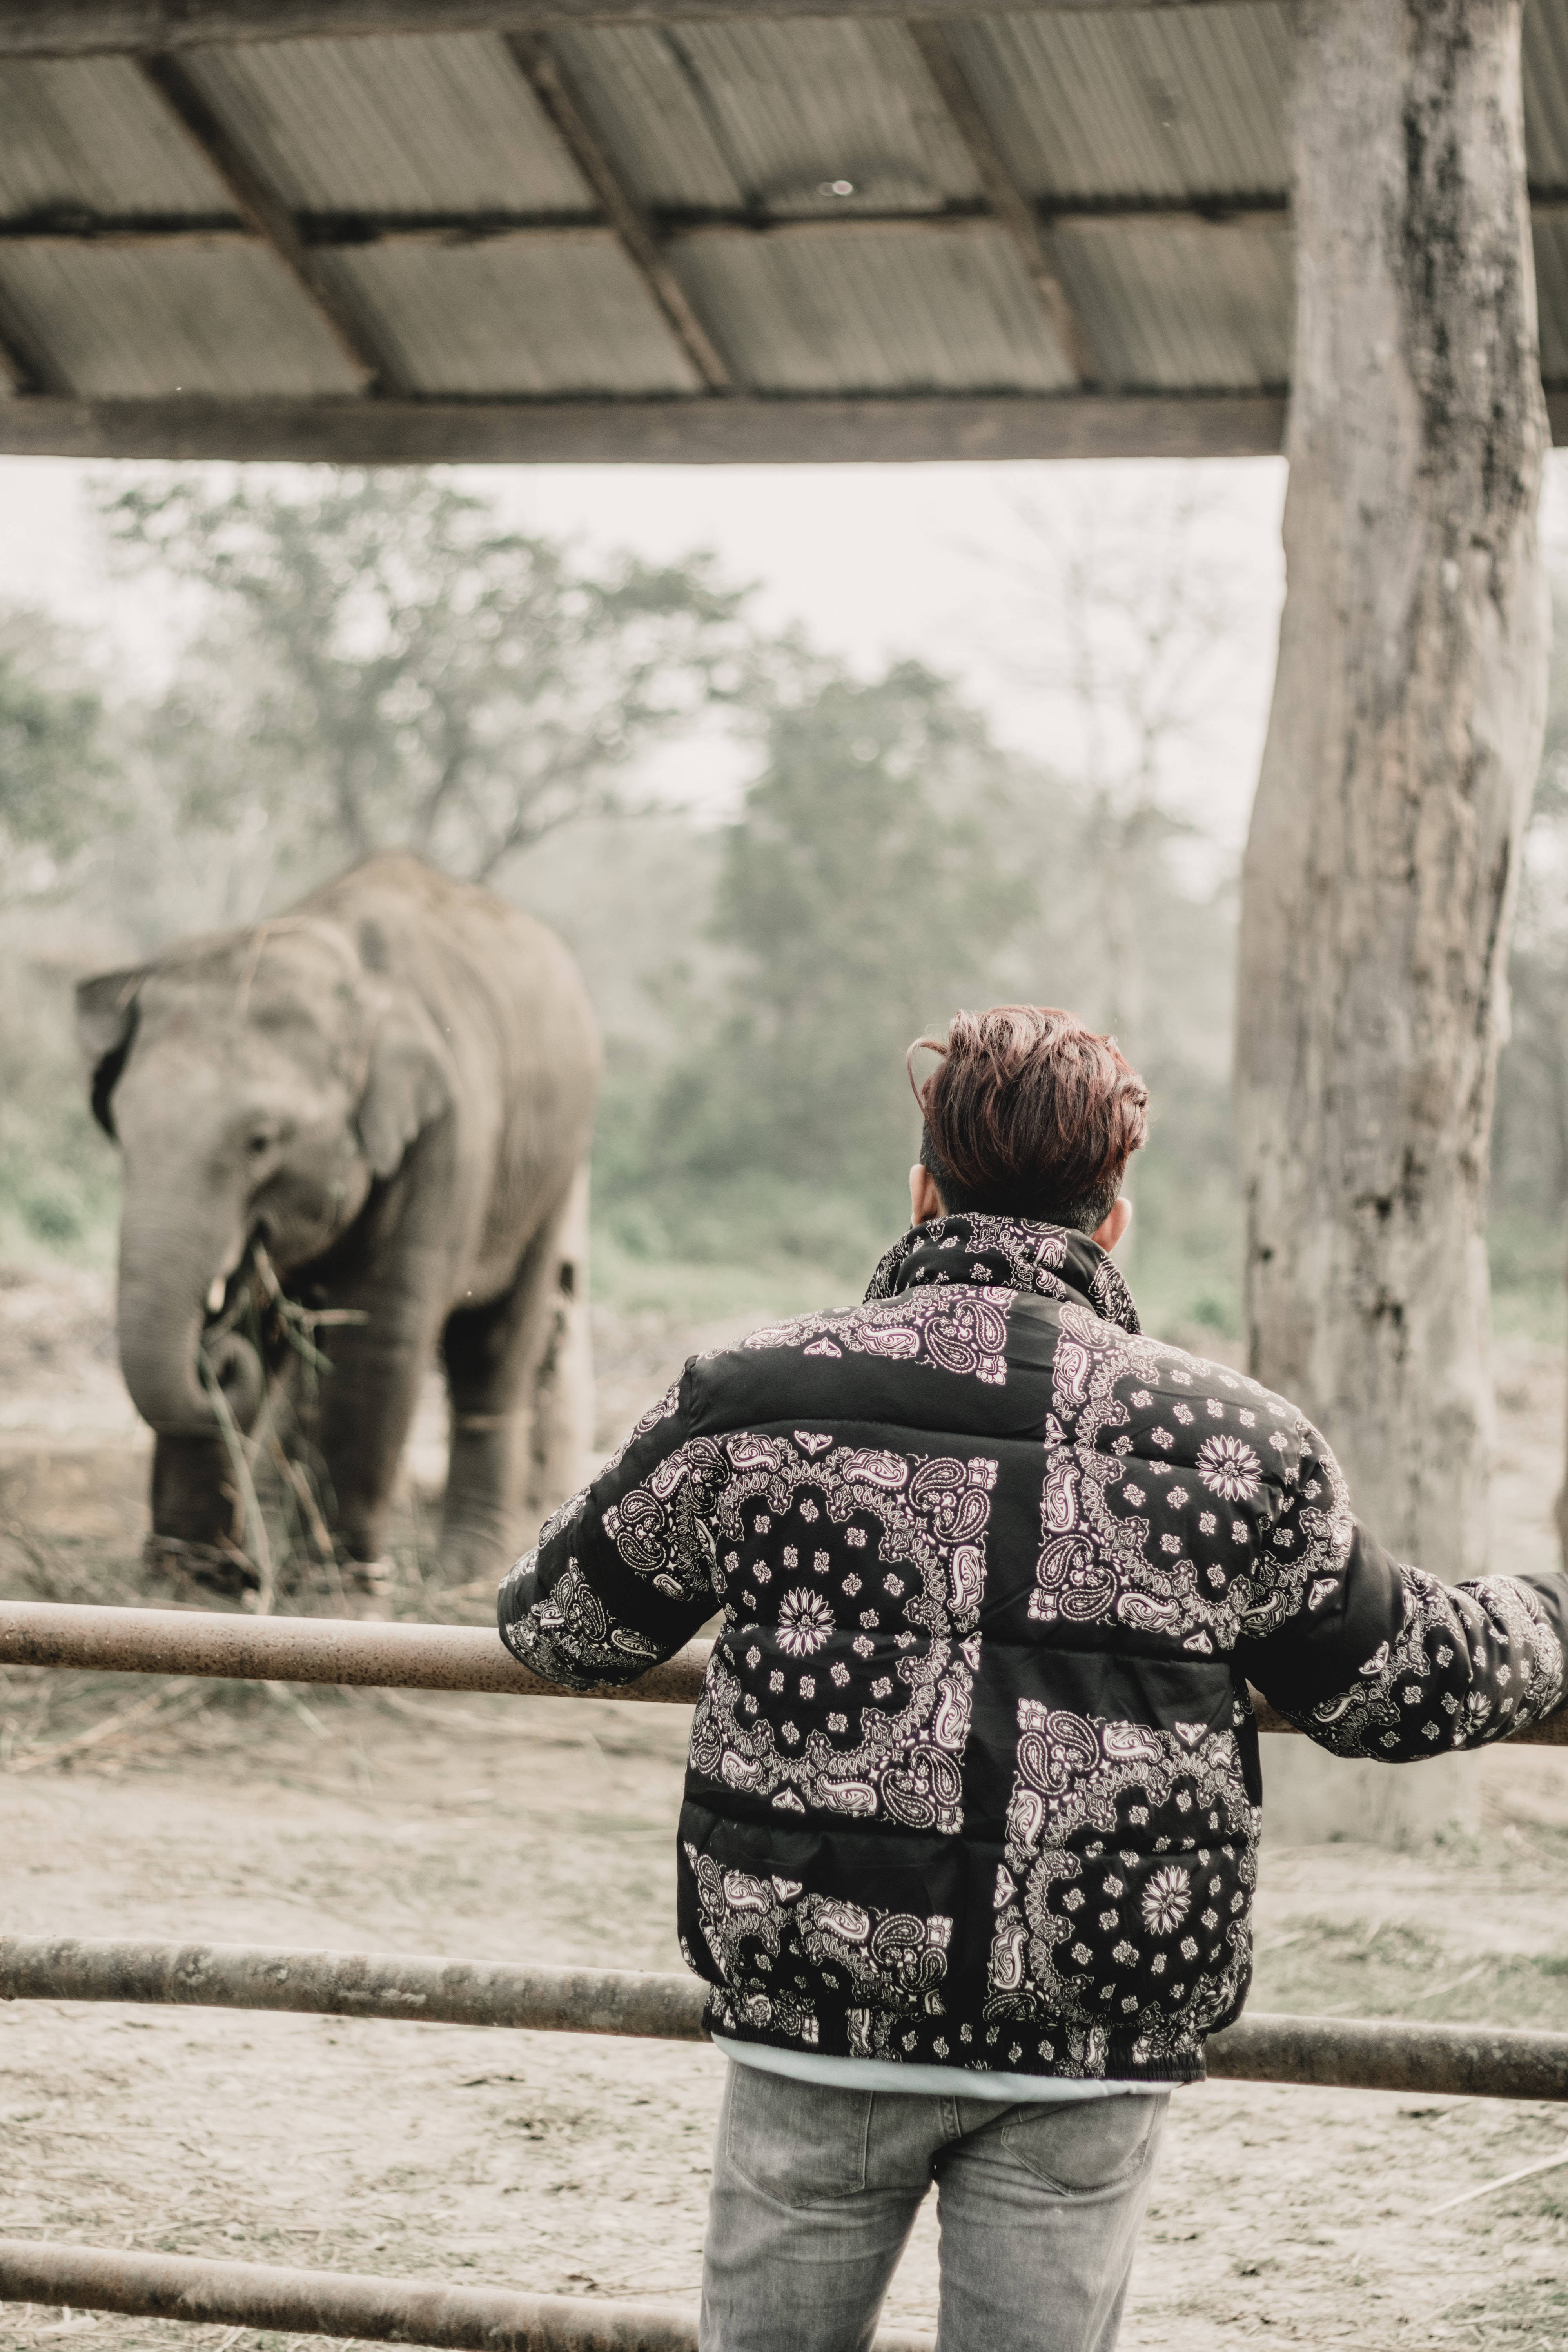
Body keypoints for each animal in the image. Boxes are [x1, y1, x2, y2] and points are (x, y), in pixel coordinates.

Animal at [76, 851, 600, 1608]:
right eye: (117, 1123)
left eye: (261, 1142)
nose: (216, 1358)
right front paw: (183, 1592)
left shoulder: (448, 1138)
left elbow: (382, 1333)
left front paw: (332, 1595)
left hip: (553, 1171)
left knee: (495, 1348)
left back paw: (462, 1573)